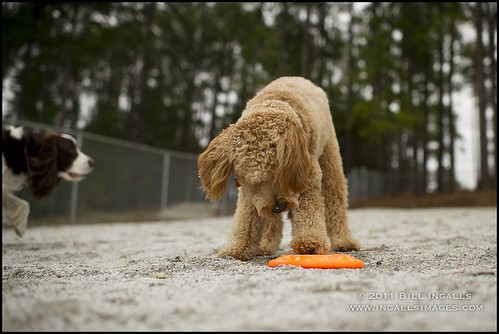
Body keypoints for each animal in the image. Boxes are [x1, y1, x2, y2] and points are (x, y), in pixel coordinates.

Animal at [198, 76, 360, 260]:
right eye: (255, 181)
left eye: (279, 174)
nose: (278, 207)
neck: (275, 103)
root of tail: (296, 78)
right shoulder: (250, 192)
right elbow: (246, 218)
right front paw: (238, 247)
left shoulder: (307, 177)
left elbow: (308, 210)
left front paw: (310, 241)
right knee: (271, 221)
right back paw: (265, 245)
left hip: (330, 158)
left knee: (335, 200)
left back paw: (344, 241)